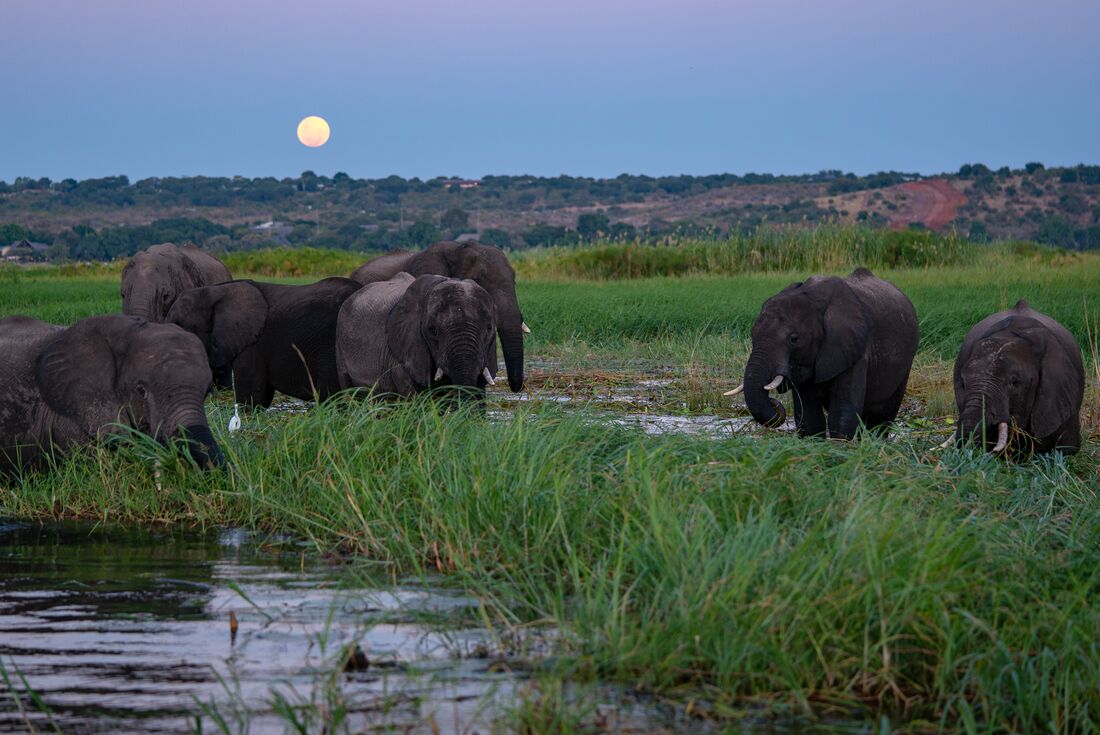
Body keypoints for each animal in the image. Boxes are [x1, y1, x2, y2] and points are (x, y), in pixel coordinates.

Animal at [728, 267, 920, 439]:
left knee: (882, 418)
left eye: (794, 339)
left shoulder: (855, 350)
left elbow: (842, 414)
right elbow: (808, 417)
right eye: (752, 334)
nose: (774, 402)